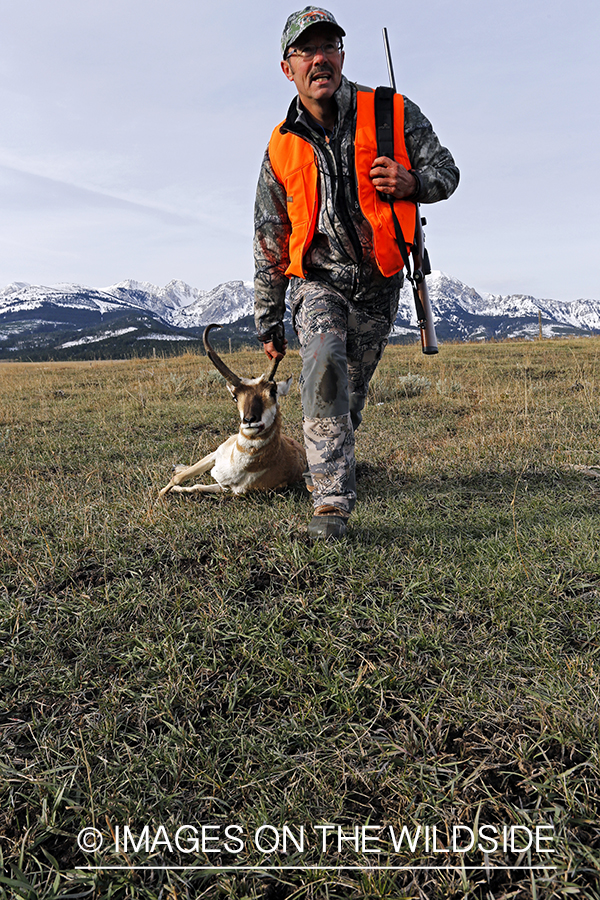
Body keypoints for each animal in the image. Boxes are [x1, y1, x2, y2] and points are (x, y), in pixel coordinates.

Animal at [158, 324, 307, 498]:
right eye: (235, 397)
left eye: (273, 392)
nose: (250, 420)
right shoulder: (215, 455)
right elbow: (183, 479)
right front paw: (165, 490)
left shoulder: (227, 489)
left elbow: (195, 485)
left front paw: (163, 492)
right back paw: (177, 466)